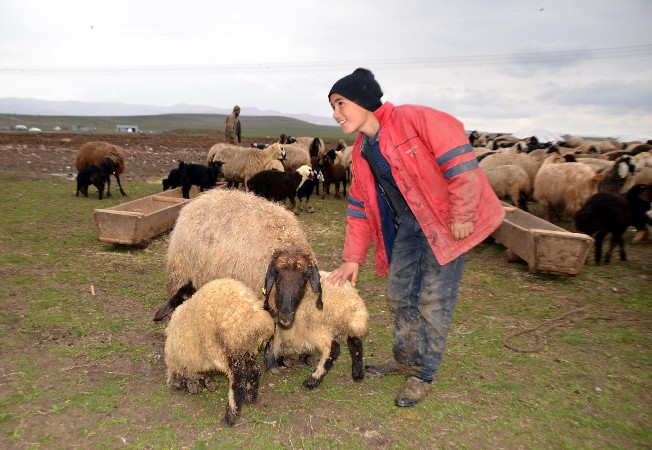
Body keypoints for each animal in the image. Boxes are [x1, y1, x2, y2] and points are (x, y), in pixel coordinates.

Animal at [164, 278, 275, 426]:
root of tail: (251, 314)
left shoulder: (177, 361)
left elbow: (180, 377)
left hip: (224, 348)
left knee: (237, 378)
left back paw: (231, 415)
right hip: (244, 348)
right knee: (254, 370)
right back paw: (250, 398)